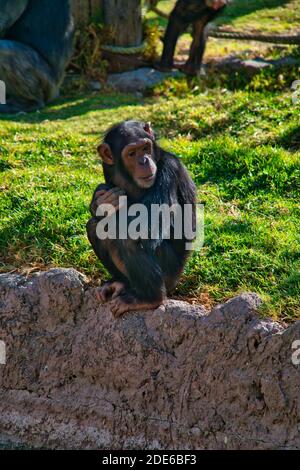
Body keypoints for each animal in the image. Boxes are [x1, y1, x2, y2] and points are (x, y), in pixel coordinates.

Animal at [86, 121, 197, 318]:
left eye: (145, 148)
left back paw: (149, 299)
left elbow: (145, 225)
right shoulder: (108, 168)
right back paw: (119, 283)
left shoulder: (169, 169)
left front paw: (104, 202)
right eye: (132, 153)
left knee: (129, 237)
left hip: (170, 276)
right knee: (94, 226)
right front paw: (100, 200)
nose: (144, 160)